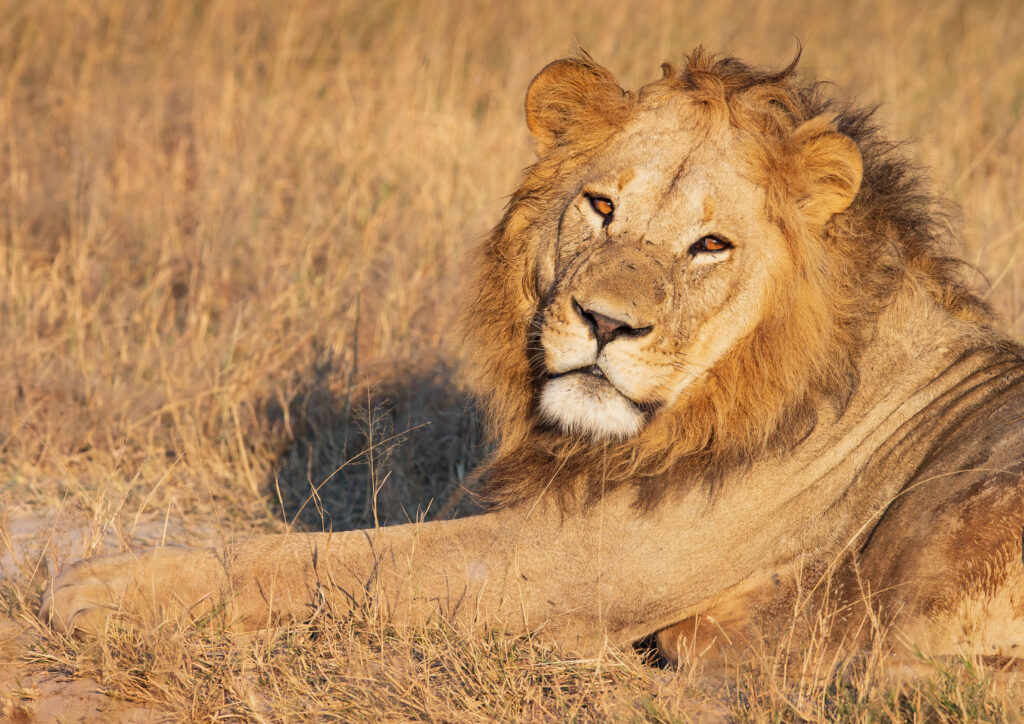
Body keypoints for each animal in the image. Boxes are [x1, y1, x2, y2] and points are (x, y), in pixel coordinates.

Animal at [42, 49, 1024, 670]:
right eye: (601, 206)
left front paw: (98, 585)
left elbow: (338, 562)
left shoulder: (575, 565)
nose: (605, 323)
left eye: (711, 245)